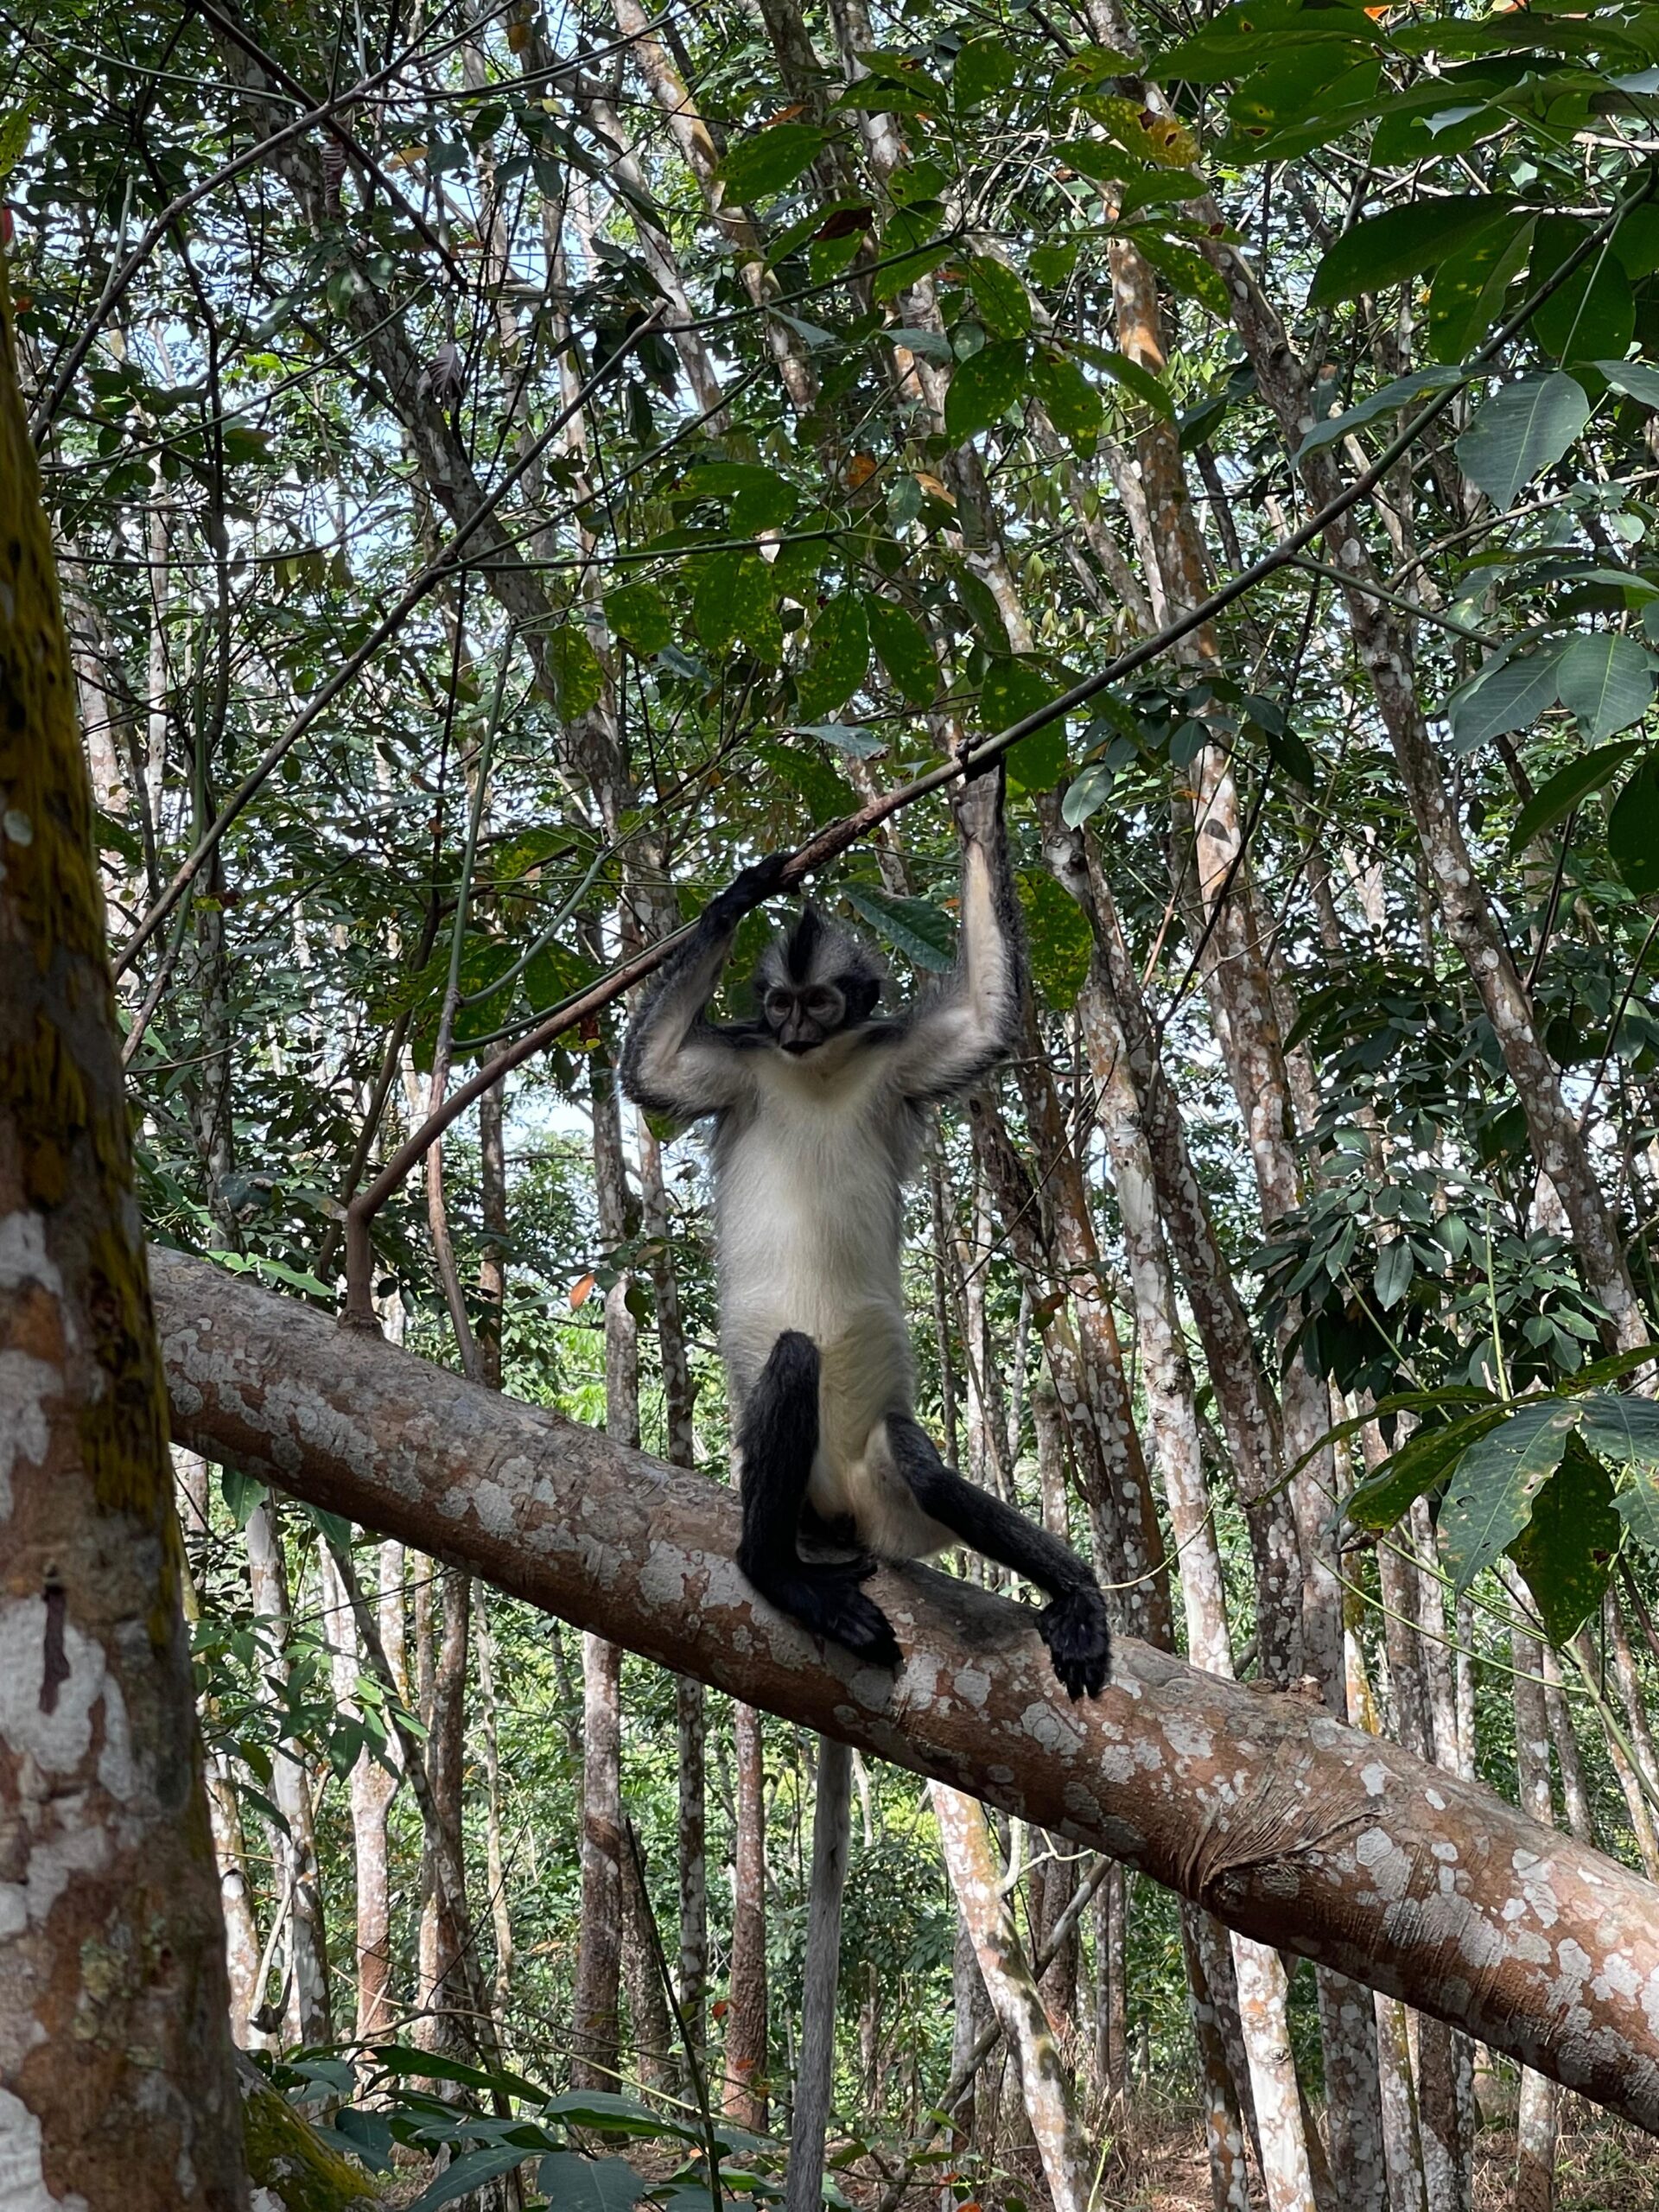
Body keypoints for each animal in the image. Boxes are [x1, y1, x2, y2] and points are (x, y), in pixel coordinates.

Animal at [619, 763, 1111, 1700]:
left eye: (818, 1002)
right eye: (779, 1003)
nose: (795, 1028)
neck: (816, 1066)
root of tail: (841, 1511)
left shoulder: (889, 1059)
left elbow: (987, 1018)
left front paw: (978, 808)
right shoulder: (744, 1063)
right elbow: (650, 1074)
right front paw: (739, 895)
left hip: (889, 1497)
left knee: (926, 1472)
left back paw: (1074, 1592)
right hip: (791, 1485)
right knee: (793, 1359)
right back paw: (778, 1574)